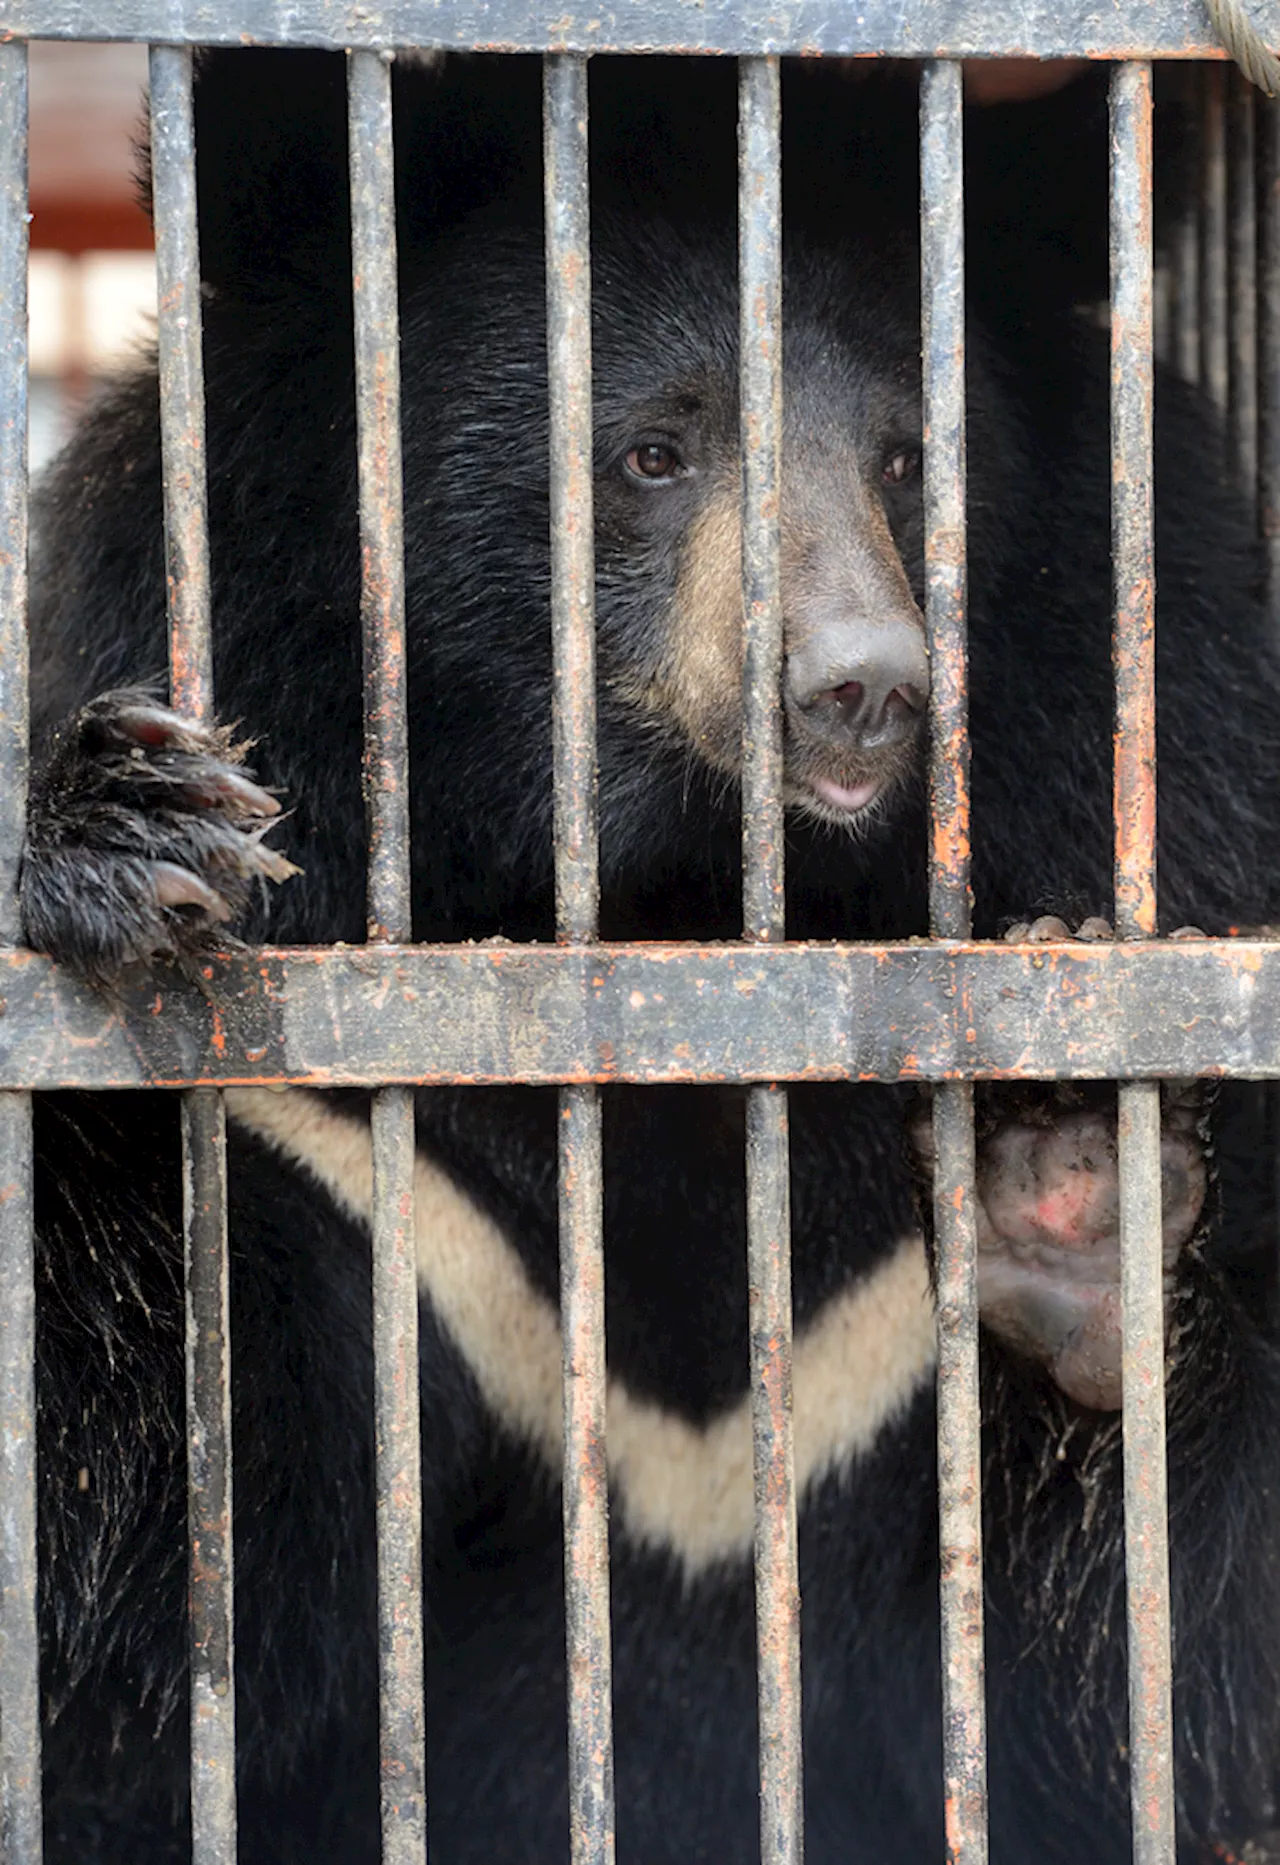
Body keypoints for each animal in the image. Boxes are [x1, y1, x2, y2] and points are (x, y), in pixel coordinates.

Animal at [17, 51, 1280, 1865]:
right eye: (653, 451)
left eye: (910, 458)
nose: (860, 687)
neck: (664, 880)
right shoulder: (353, 1175)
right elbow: (131, 1579)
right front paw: (129, 831)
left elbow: (1168, 1684)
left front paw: (1078, 1198)